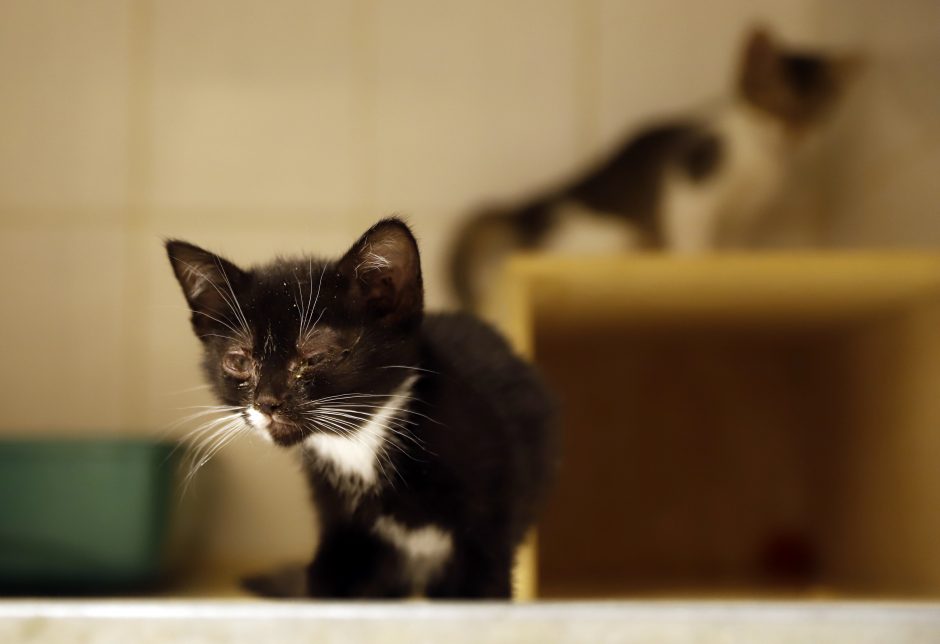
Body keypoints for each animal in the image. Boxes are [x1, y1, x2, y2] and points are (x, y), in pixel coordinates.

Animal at [450, 28, 860, 310]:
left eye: (815, 112)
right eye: (775, 102)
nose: (795, 133)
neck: (761, 158)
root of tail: (530, 206)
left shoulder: (744, 214)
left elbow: (735, 240)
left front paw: (735, 259)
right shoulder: (691, 180)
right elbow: (693, 233)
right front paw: (698, 260)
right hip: (607, 235)